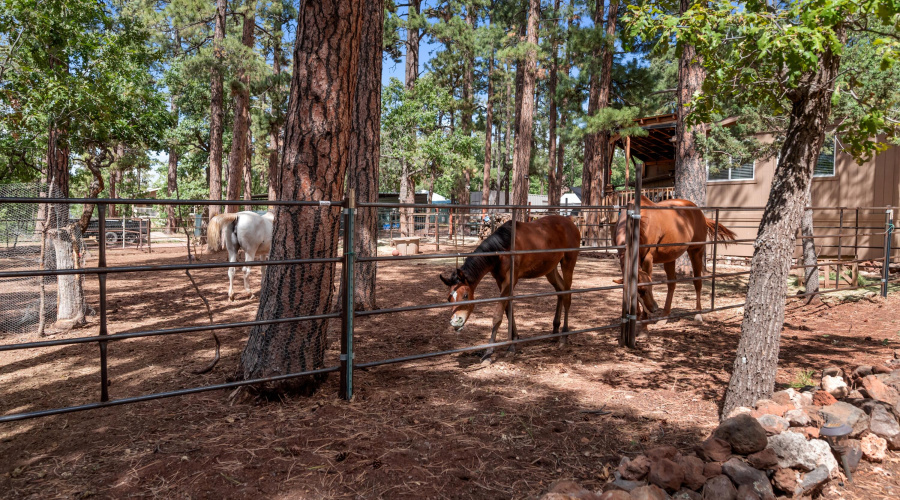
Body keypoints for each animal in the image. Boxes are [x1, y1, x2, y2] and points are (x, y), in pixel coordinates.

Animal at [439, 215, 581, 361]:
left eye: (466, 295)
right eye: (449, 299)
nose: (455, 322)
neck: (503, 249)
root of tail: (569, 221)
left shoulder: (509, 281)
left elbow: (498, 314)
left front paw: (489, 352)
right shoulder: (500, 281)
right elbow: (508, 311)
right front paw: (513, 343)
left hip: (568, 263)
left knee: (567, 295)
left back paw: (564, 337)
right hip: (550, 270)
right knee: (560, 291)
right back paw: (555, 331)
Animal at [614, 195, 736, 325]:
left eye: (650, 288)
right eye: (641, 290)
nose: (654, 308)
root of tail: (699, 213)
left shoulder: (648, 258)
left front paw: (644, 319)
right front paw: (636, 315)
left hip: (696, 252)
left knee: (697, 281)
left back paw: (698, 314)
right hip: (670, 258)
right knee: (672, 283)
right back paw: (665, 316)